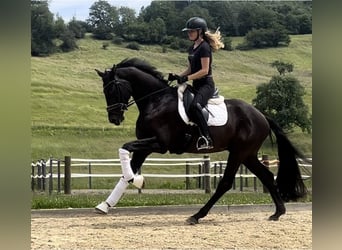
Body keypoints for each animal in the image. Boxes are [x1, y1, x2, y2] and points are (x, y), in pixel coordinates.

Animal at [95, 57, 308, 224]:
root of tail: (262, 116)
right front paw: (105, 204)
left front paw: (138, 181)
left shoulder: (160, 144)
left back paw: (197, 216)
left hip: (239, 152)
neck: (156, 101)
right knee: (266, 176)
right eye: (104, 92)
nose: (114, 119)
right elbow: (126, 170)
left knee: (226, 183)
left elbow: (124, 148)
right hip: (247, 154)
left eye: (113, 89)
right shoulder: (145, 146)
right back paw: (278, 212)